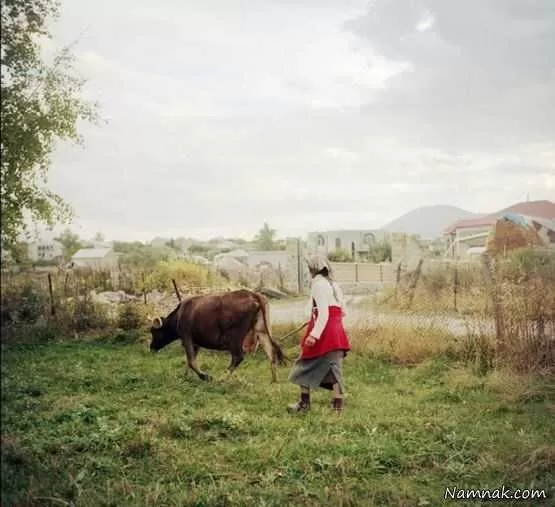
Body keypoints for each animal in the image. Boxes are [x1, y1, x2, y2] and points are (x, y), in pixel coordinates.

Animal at [149, 290, 286, 380]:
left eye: (154, 332)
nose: (151, 347)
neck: (180, 314)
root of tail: (253, 294)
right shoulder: (196, 342)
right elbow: (189, 360)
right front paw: (185, 376)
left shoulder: (186, 336)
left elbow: (191, 360)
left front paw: (204, 376)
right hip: (261, 331)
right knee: (271, 353)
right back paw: (274, 382)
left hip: (235, 337)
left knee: (238, 357)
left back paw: (222, 378)